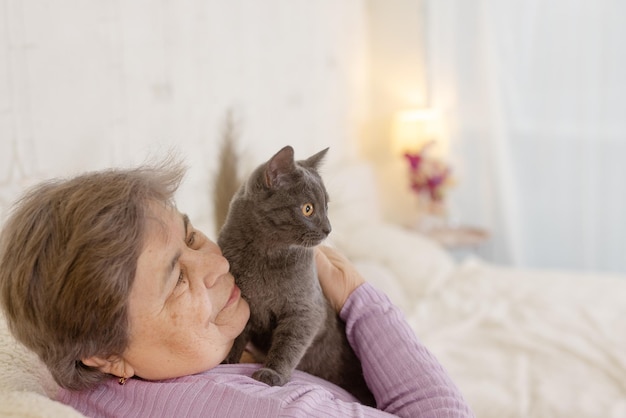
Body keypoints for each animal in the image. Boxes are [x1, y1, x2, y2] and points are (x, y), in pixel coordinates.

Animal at [216, 143, 370, 404]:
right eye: (307, 209)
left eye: (327, 207)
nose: (328, 229)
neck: (265, 256)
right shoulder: (240, 301)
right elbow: (235, 334)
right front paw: (227, 361)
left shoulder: (306, 310)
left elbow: (288, 344)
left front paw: (272, 374)